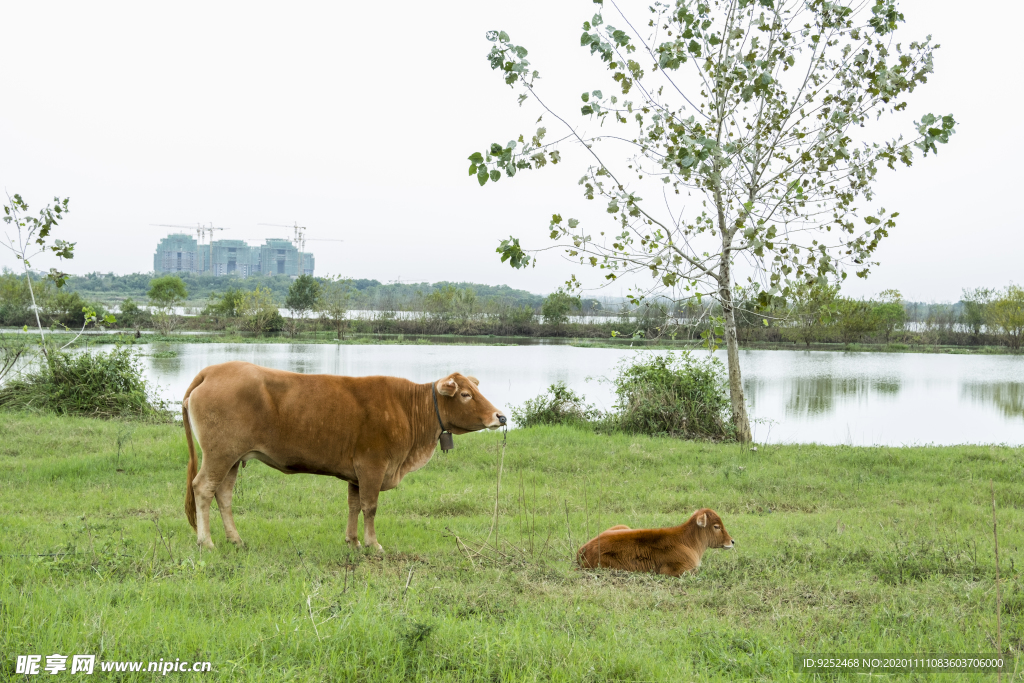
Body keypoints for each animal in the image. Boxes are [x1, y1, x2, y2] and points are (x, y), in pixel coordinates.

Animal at [185, 362, 507, 548]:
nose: (500, 416)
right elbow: (370, 507)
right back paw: (206, 541)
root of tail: (213, 370)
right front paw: (372, 544)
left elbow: (353, 505)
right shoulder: (373, 466)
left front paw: (352, 541)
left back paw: (235, 539)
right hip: (219, 454)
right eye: (465, 394)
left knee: (223, 495)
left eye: (475, 389)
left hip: (232, 458)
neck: (407, 409)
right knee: (203, 489)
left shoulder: (356, 473)